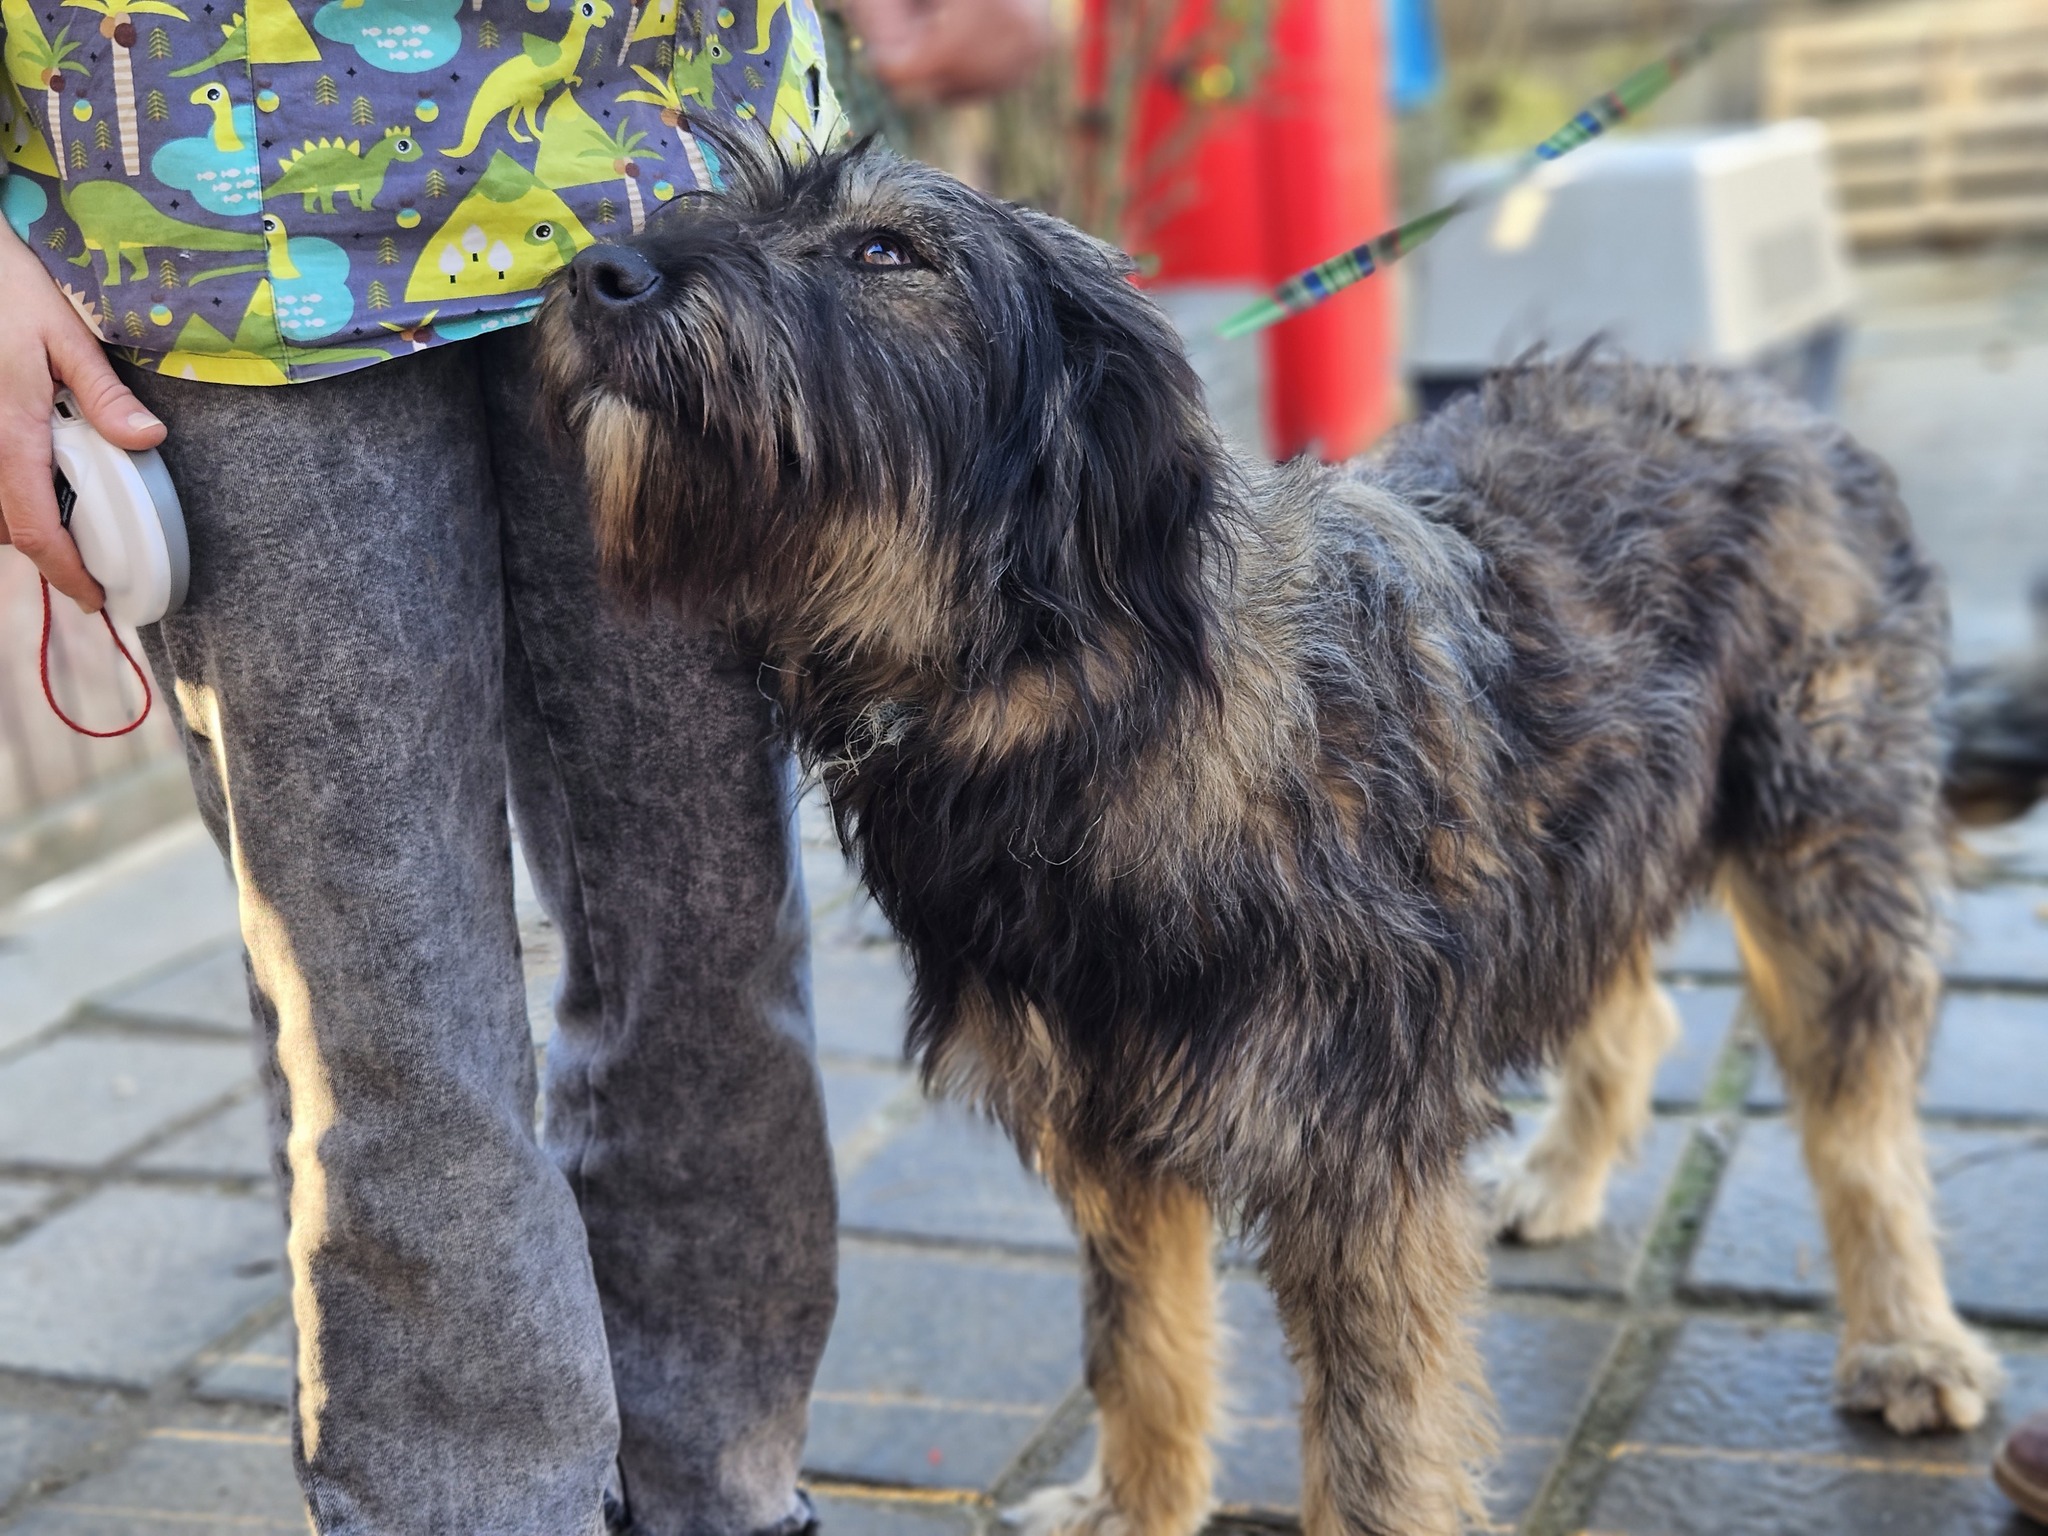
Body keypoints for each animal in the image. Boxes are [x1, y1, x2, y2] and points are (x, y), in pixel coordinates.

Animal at [535, 136, 2003, 1536]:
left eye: (886, 249)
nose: (601, 274)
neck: (1072, 707)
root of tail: (1775, 404)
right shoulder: (1109, 1127)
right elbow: (1141, 1348)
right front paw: (1133, 1509)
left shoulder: (1356, 1158)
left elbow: (1375, 1440)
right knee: (1630, 1005)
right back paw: (1559, 1178)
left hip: (1824, 859)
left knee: (1858, 1123)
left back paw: (1908, 1343)